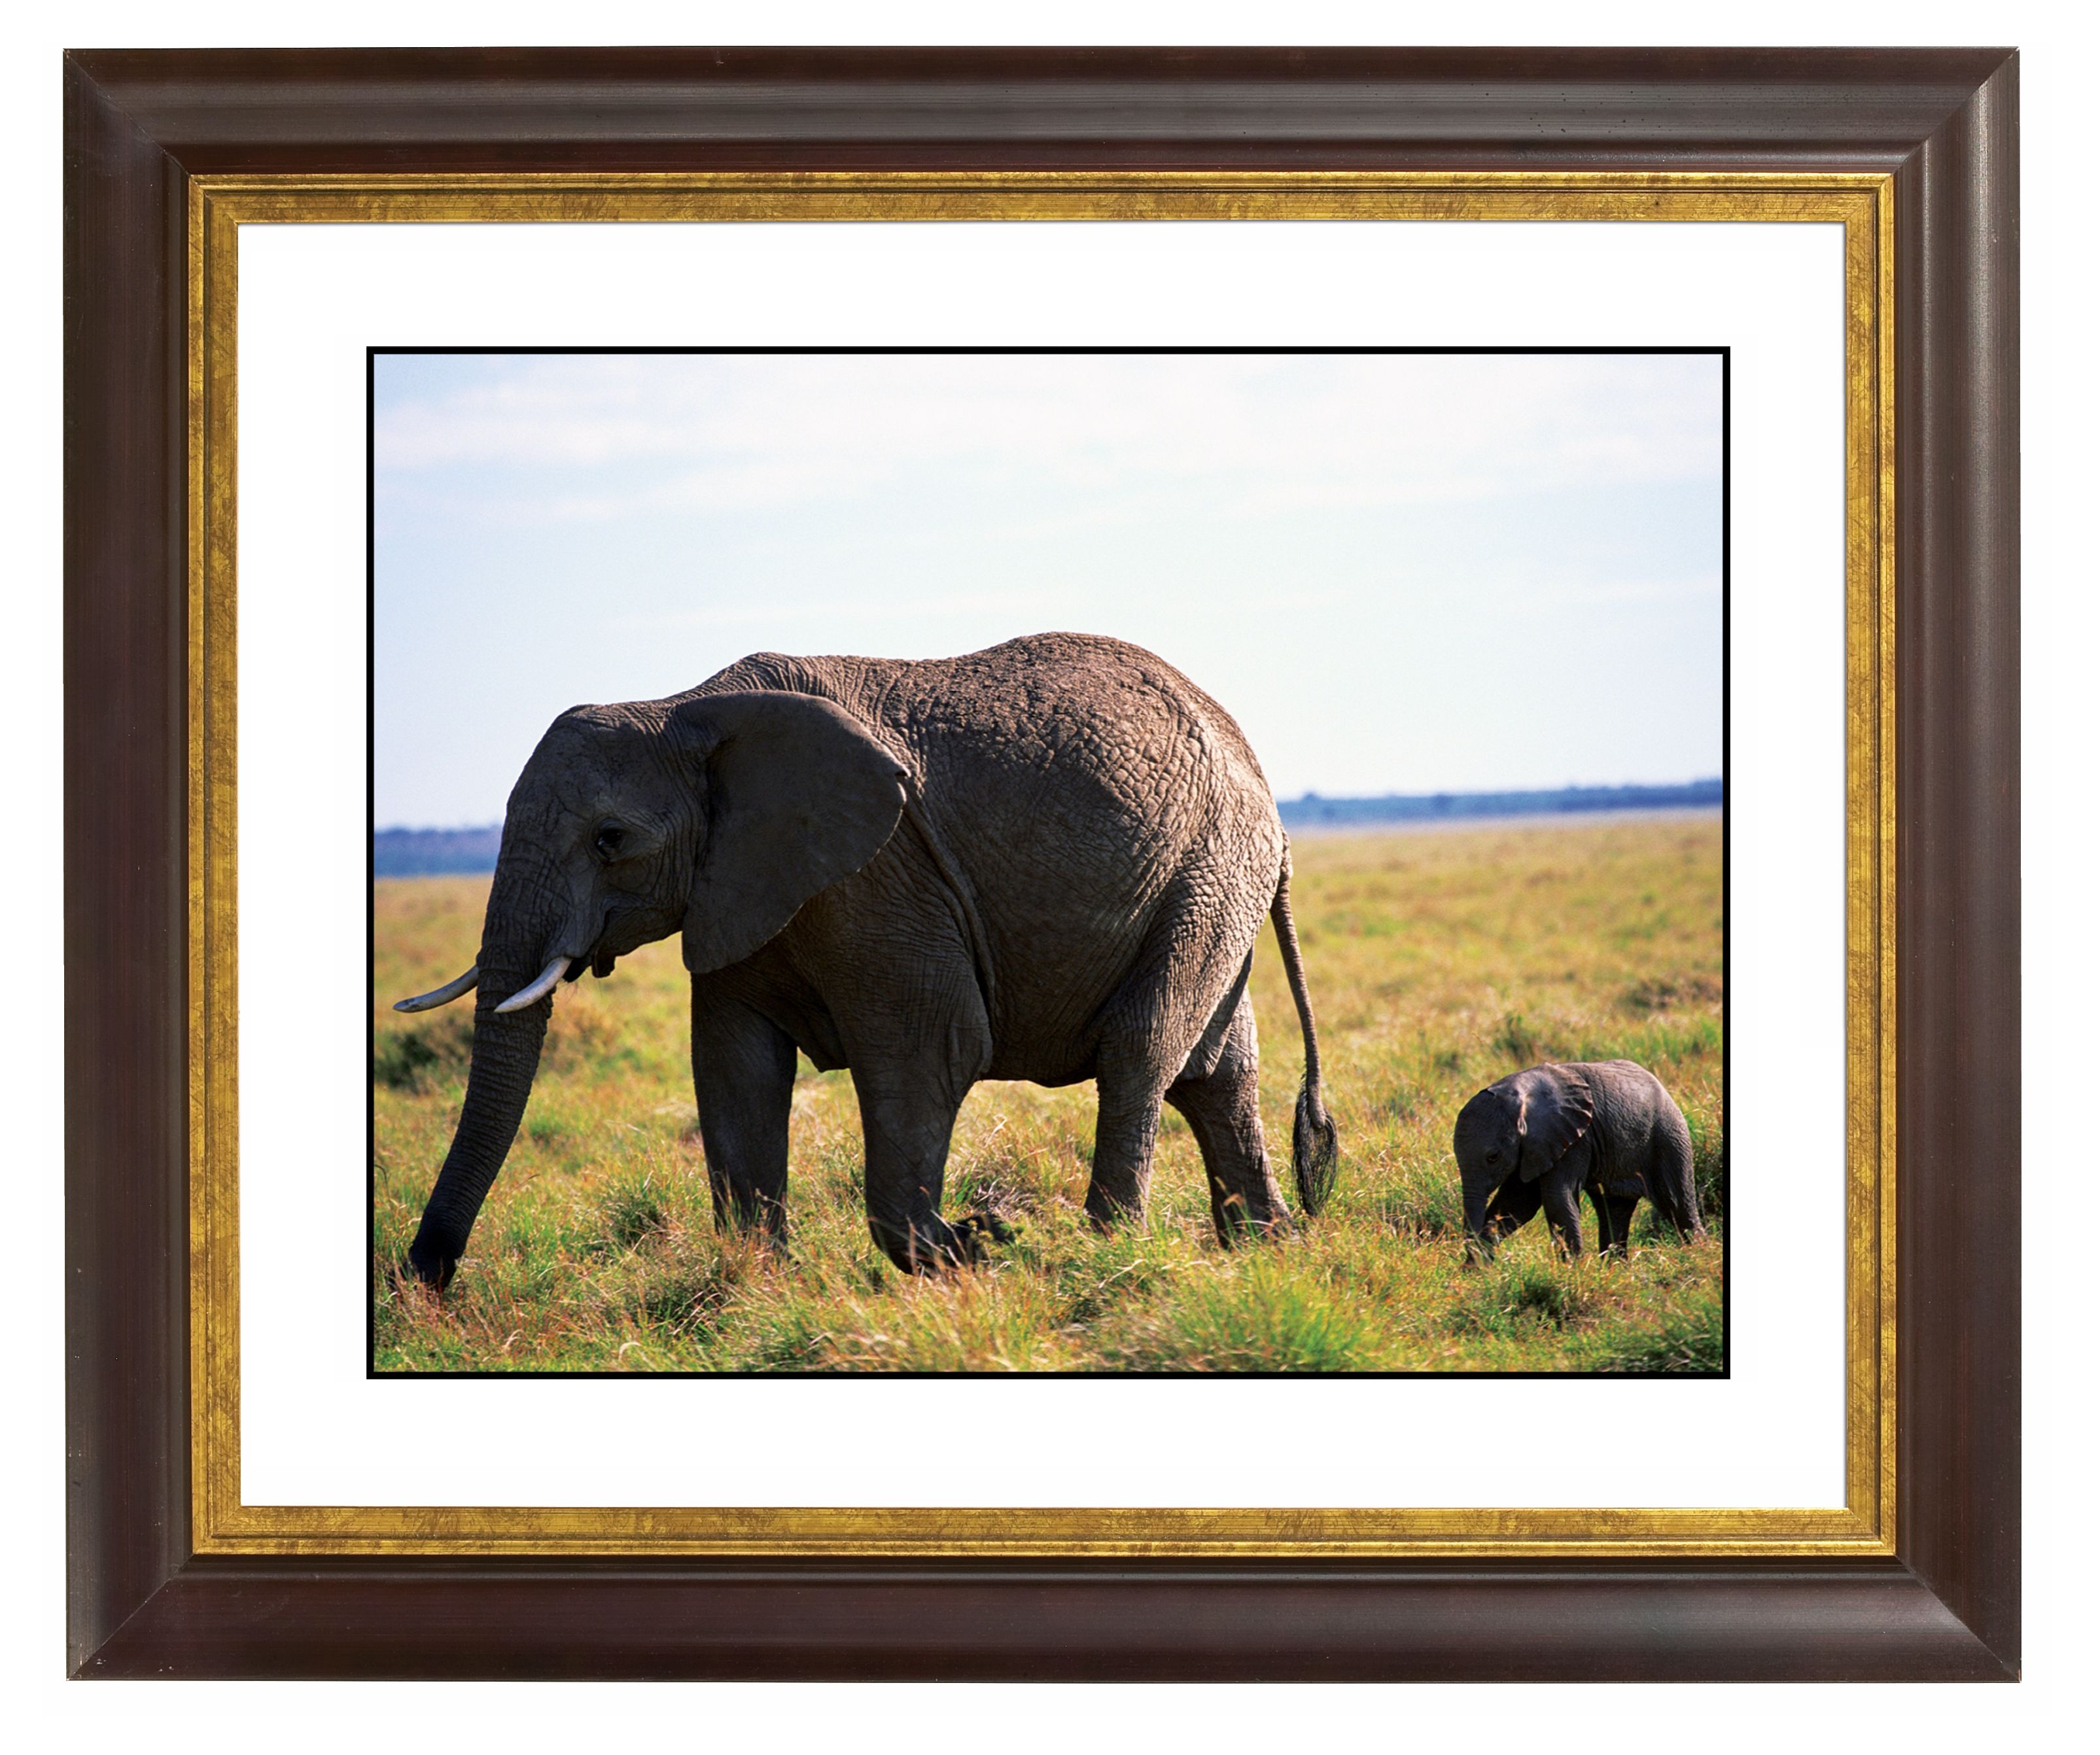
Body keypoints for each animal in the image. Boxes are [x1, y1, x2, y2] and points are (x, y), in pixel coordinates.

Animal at [391, 632, 1338, 1287]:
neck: (684, 707)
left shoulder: (879, 878)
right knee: (1218, 1073)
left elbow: (931, 1050)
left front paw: (980, 1247)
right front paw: (760, 1287)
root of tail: (1256, 767)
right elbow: (734, 1066)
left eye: (609, 840)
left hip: (1207, 868)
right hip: (1212, 880)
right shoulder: (738, 887)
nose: (420, 1278)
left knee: (1141, 1052)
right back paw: (1267, 1248)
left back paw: (1109, 1252)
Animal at [1450, 1060, 1704, 1261]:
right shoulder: (1535, 1146)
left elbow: (1556, 1199)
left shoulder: (1573, 1140)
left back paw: (1698, 1256)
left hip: (1669, 1137)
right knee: (1613, 1209)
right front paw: (1475, 1269)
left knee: (1678, 1205)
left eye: (1493, 1158)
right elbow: (1517, 1204)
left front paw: (1571, 1270)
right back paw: (1614, 1270)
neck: (1521, 1092)